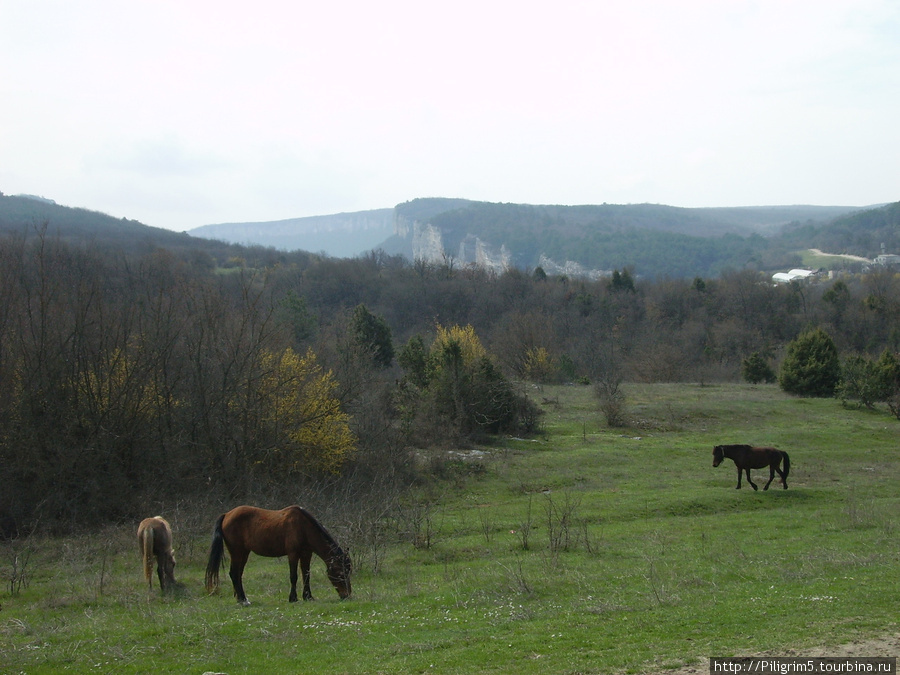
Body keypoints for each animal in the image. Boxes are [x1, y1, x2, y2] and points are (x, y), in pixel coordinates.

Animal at [204, 504, 352, 604]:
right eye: (340, 573)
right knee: (234, 573)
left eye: (348, 572)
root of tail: (227, 515)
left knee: (238, 574)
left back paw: (241, 597)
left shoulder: (306, 554)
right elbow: (294, 576)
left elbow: (306, 575)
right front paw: (293, 598)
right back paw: (242, 600)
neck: (303, 527)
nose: (347, 595)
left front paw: (308, 596)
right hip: (236, 551)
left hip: (244, 553)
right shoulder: (293, 554)